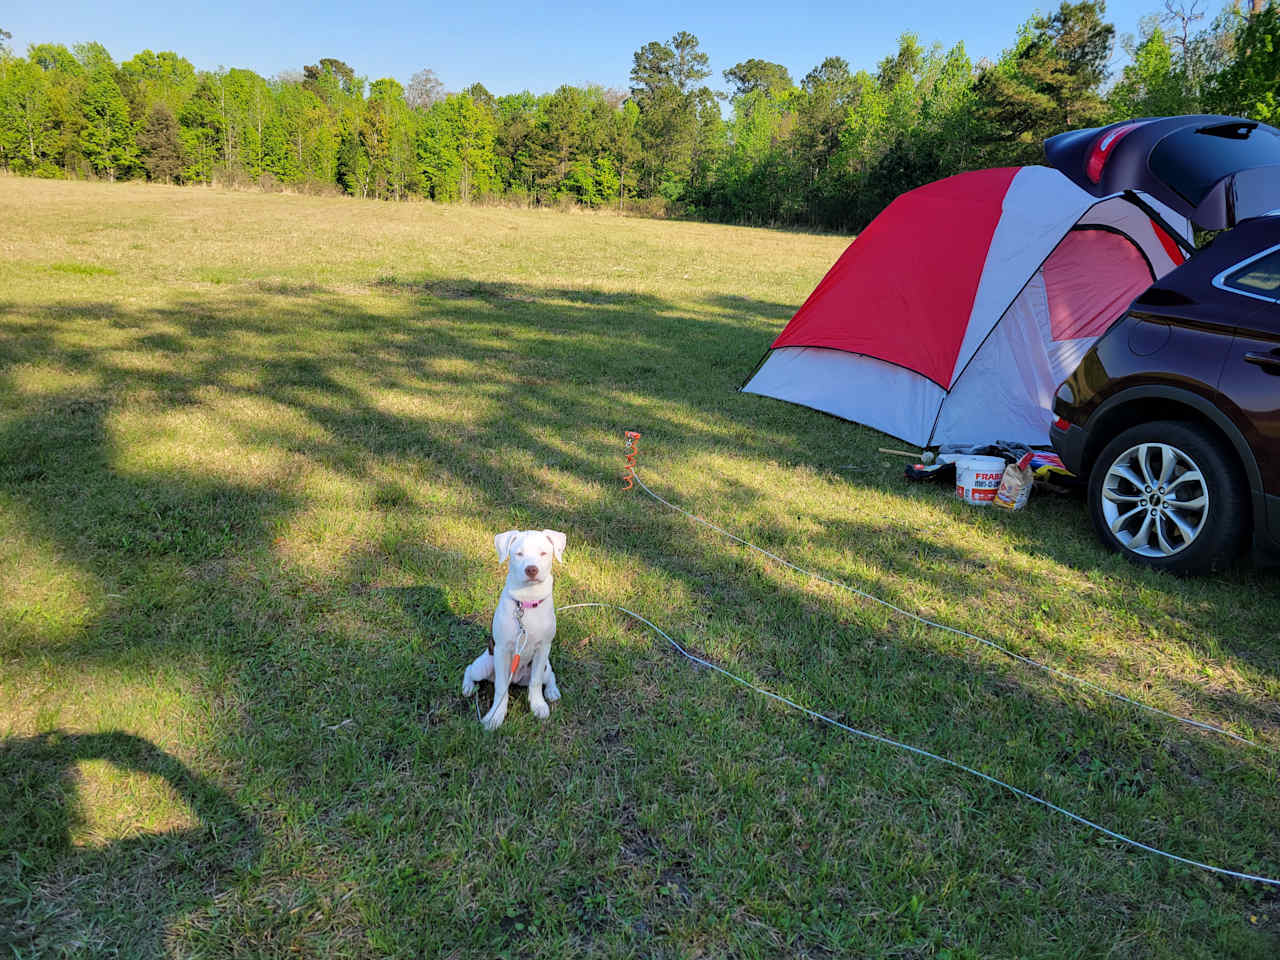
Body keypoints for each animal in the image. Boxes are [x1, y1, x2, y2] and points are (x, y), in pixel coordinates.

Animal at [460, 535, 560, 727]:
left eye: (544, 553)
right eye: (519, 554)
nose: (531, 569)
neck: (528, 599)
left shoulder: (543, 648)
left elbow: (536, 682)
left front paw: (538, 705)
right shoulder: (502, 650)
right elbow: (500, 688)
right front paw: (496, 715)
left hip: (543, 666)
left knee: (549, 674)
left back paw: (552, 691)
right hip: (485, 665)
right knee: (470, 669)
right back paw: (468, 686)